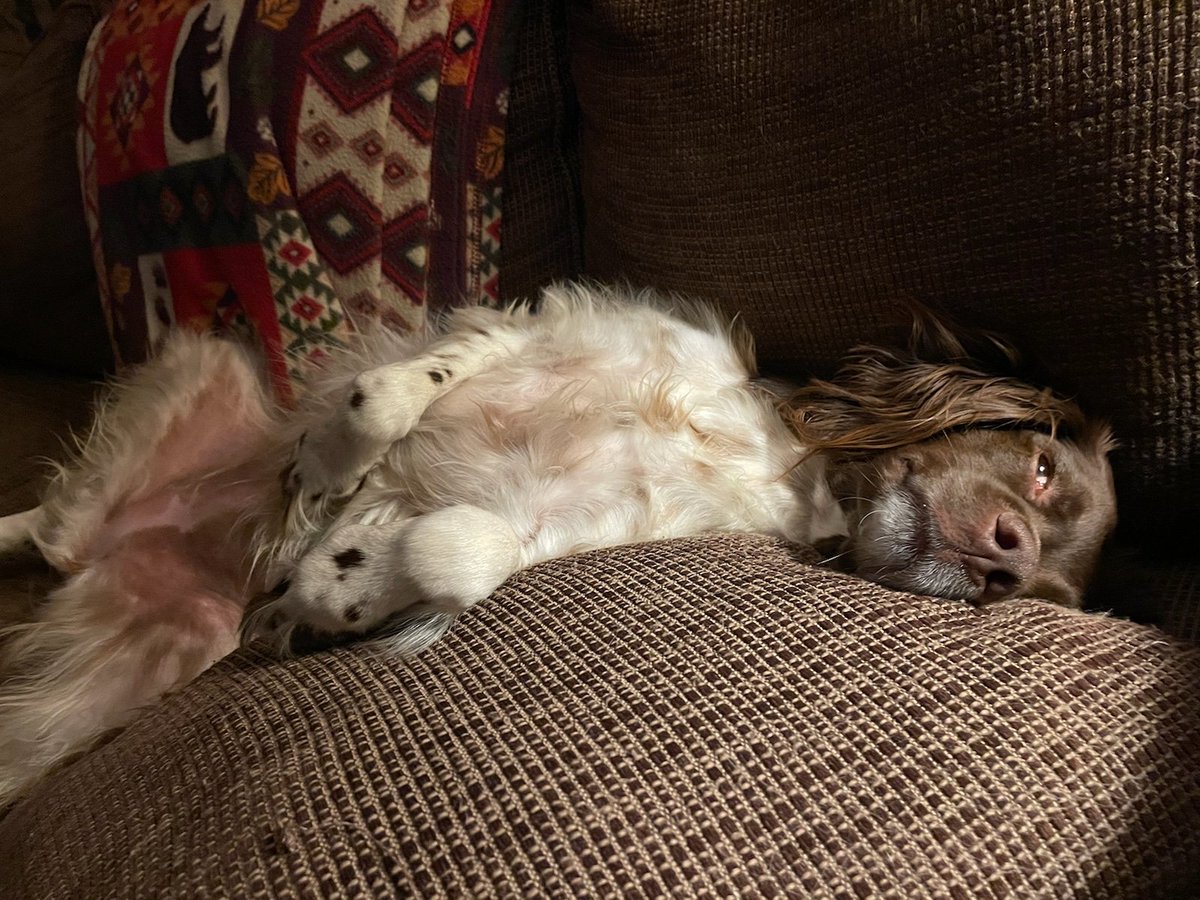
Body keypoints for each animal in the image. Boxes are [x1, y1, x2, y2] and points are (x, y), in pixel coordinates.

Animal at [0, 283, 1113, 801]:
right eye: (1041, 467)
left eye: (1035, 597)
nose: (1005, 558)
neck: (767, 462)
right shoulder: (535, 330)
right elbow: (391, 397)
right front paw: (326, 476)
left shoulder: (569, 525)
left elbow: (465, 554)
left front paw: (327, 583)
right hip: (210, 359)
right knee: (45, 523)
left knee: (50, 544)